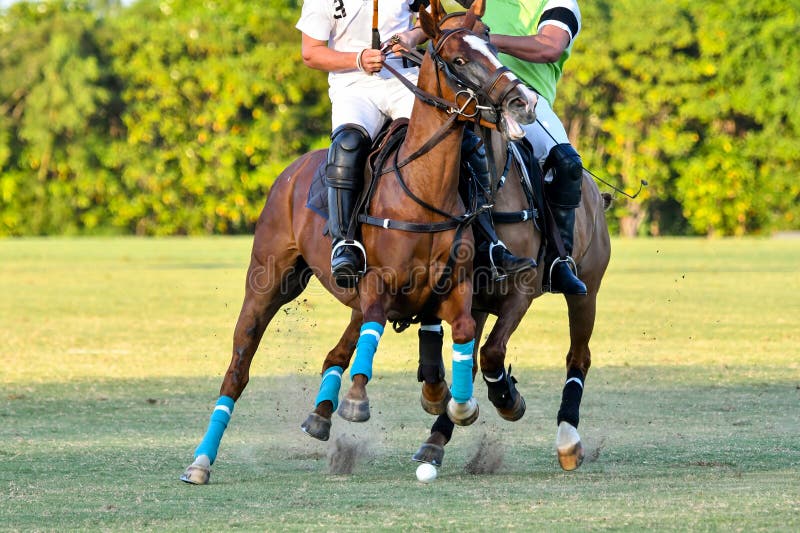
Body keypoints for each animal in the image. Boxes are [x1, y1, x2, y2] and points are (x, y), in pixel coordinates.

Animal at [180, 0, 539, 485]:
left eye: (493, 44)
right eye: (459, 59)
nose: (523, 102)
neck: (424, 190)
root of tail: (290, 172)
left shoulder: (455, 286)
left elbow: (461, 333)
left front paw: (454, 401)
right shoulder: (378, 284)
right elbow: (375, 328)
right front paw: (357, 400)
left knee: (336, 351)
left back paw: (320, 414)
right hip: (269, 281)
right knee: (239, 367)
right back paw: (201, 461)